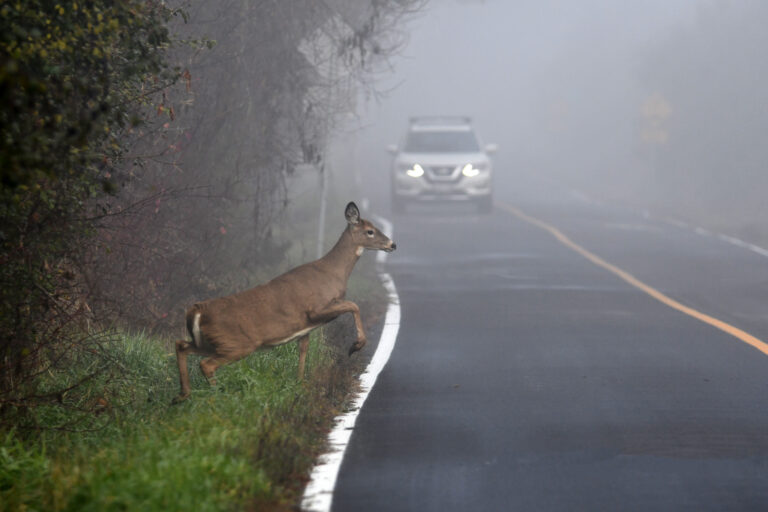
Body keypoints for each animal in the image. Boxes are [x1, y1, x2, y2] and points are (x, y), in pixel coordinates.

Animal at [172, 202, 396, 403]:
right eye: (370, 231)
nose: (392, 244)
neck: (333, 273)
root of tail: (197, 311)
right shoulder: (315, 309)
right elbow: (353, 305)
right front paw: (356, 346)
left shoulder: (306, 328)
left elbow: (303, 352)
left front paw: (299, 385)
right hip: (237, 343)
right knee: (206, 364)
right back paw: (216, 397)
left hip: (211, 342)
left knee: (182, 345)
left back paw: (182, 395)